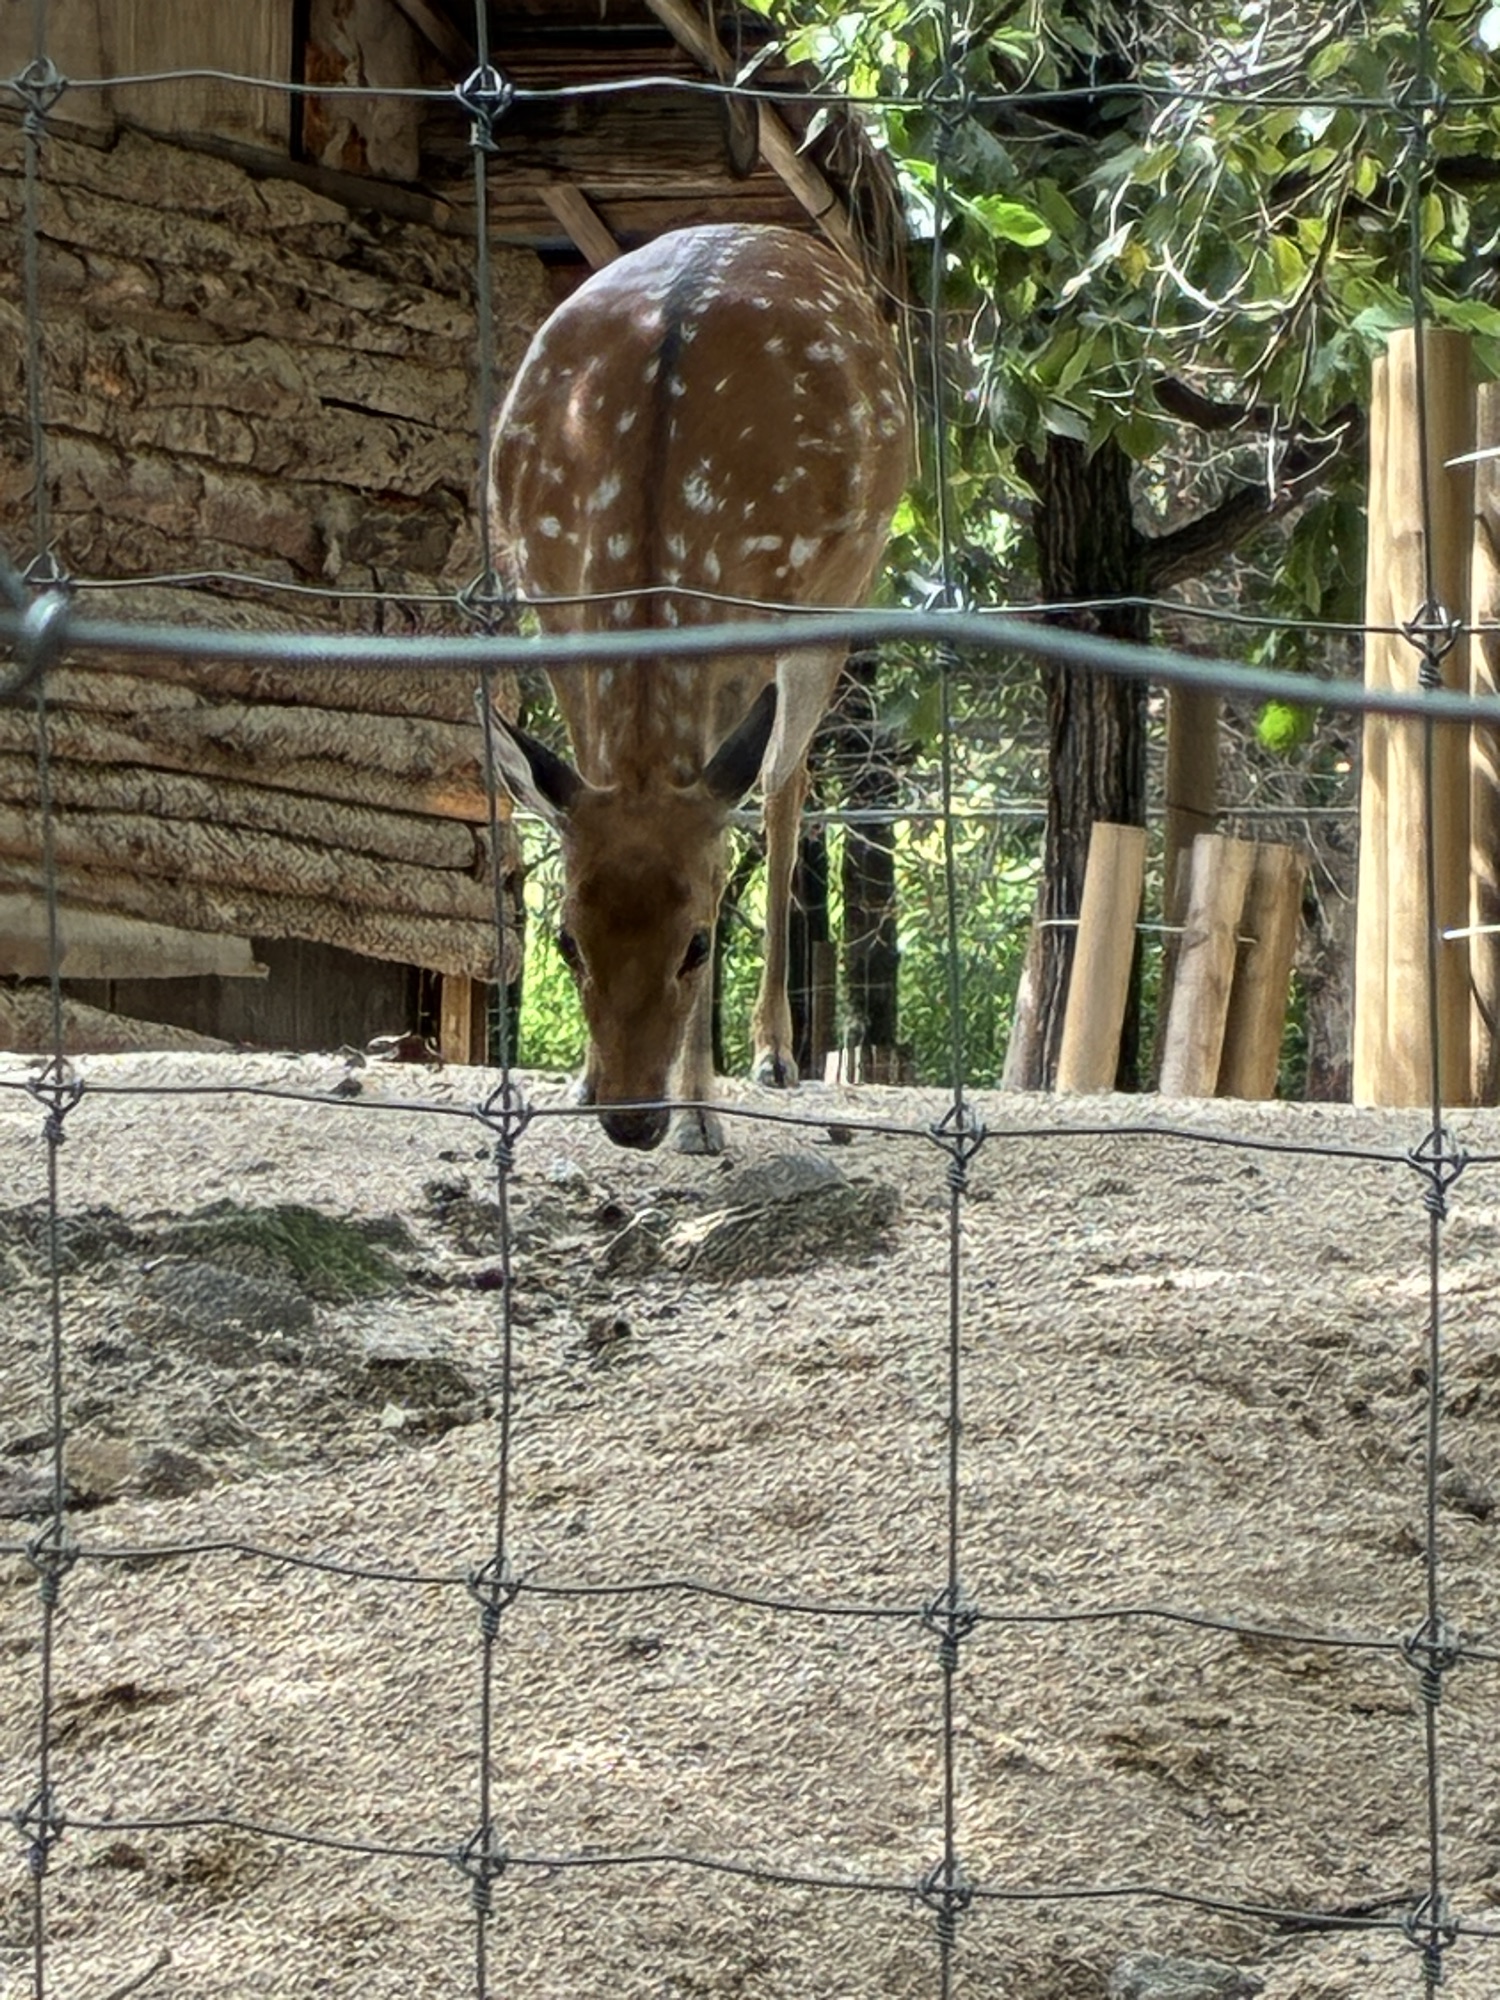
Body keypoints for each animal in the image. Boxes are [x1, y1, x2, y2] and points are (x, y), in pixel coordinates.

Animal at [489, 223, 911, 1153]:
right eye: (566, 941)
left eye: (699, 942)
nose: (631, 1118)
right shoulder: (554, 614)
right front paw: (580, 1080)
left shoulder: (758, 620)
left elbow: (727, 829)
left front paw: (699, 1114)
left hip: (845, 590)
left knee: (789, 783)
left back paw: (775, 1055)